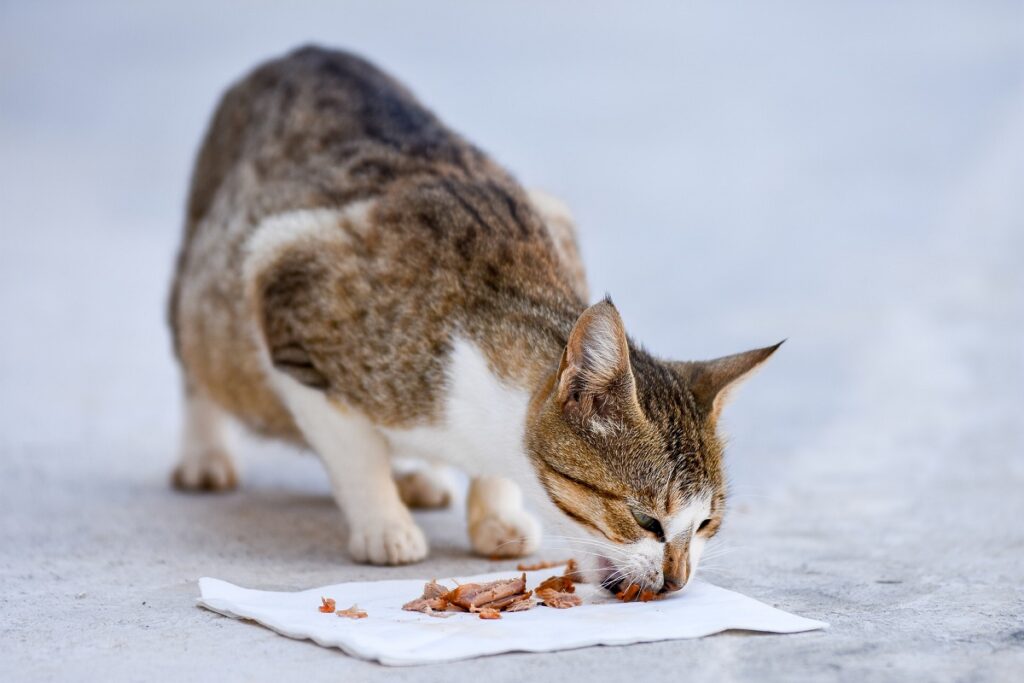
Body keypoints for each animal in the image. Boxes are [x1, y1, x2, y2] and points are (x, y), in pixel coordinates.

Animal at [167, 45, 778, 593]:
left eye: (705, 524)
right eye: (647, 520)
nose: (678, 580)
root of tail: (302, 53)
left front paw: (494, 513)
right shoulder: (286, 287)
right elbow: (354, 450)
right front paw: (383, 523)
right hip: (207, 283)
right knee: (197, 359)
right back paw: (206, 455)